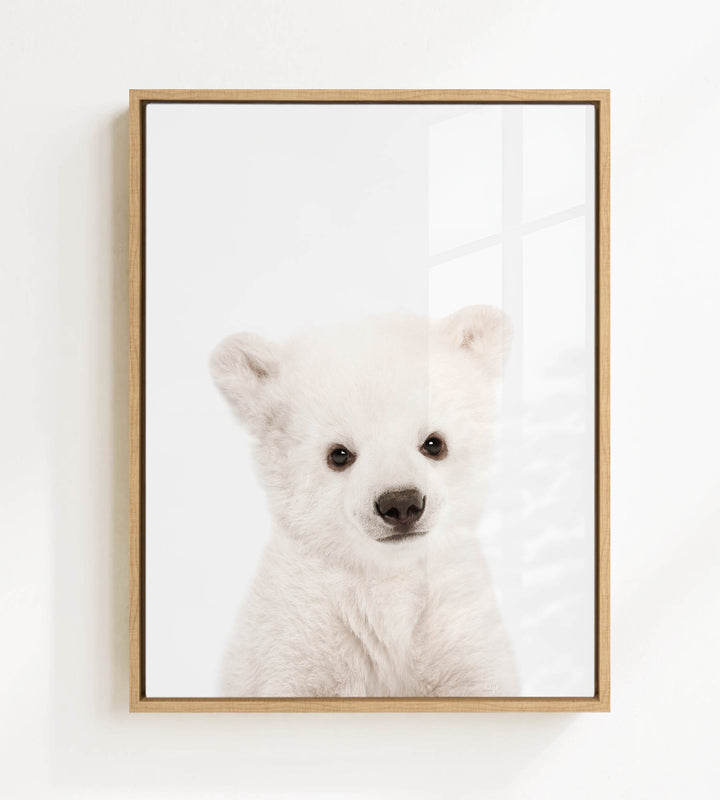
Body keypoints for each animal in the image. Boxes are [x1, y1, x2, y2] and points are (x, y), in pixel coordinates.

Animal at [210, 305, 518, 697]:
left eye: (434, 443)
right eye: (339, 454)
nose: (401, 503)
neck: (386, 578)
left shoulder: (456, 621)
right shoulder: (298, 629)